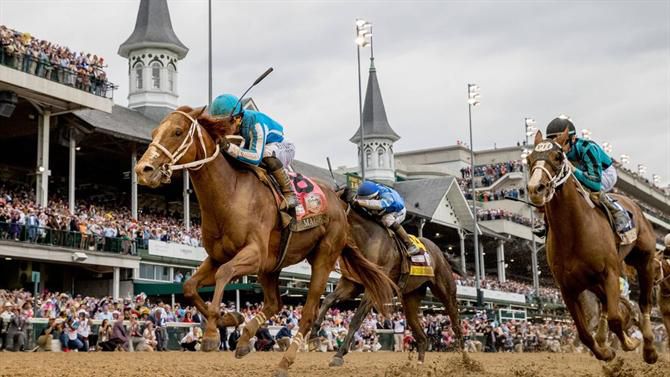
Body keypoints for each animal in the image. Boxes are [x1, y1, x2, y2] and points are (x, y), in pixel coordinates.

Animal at [137, 106, 400, 376]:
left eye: (178, 132)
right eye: (154, 132)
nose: (142, 170)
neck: (231, 193)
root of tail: (339, 206)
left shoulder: (254, 253)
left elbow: (224, 273)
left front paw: (211, 334)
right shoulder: (217, 256)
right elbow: (189, 286)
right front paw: (230, 318)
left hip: (322, 258)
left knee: (309, 312)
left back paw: (286, 360)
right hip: (272, 266)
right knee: (275, 303)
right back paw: (245, 340)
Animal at [312, 192, 464, 366]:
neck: (366, 237)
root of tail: (441, 253)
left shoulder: (374, 287)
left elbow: (356, 319)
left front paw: (339, 355)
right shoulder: (352, 283)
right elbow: (328, 299)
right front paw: (314, 331)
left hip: (446, 291)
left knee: (456, 324)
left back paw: (465, 359)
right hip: (410, 298)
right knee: (422, 336)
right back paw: (419, 364)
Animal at [532, 128, 660, 362]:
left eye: (557, 157)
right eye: (528, 158)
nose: (535, 188)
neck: (573, 232)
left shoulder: (610, 273)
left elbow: (616, 318)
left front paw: (630, 343)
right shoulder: (567, 287)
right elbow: (584, 333)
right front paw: (606, 352)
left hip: (643, 260)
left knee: (644, 303)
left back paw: (649, 348)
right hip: (592, 281)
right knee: (605, 308)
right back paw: (604, 339)